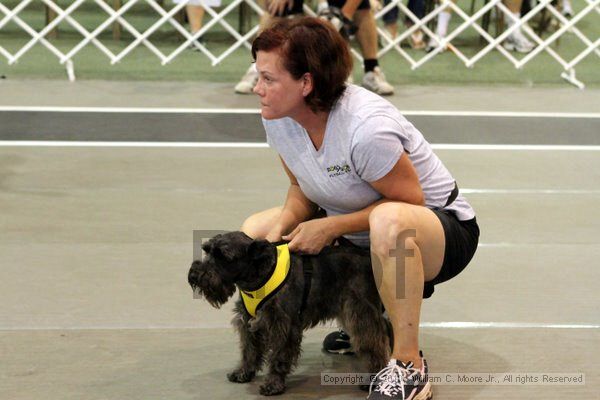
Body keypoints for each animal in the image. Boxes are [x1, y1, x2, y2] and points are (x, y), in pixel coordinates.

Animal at [190, 231, 392, 396]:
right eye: (207, 251)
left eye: (225, 257)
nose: (195, 275)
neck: (258, 276)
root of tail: (367, 258)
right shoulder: (249, 322)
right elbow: (249, 351)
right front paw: (243, 372)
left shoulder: (282, 327)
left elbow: (278, 357)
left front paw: (273, 384)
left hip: (361, 314)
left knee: (376, 344)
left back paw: (375, 379)